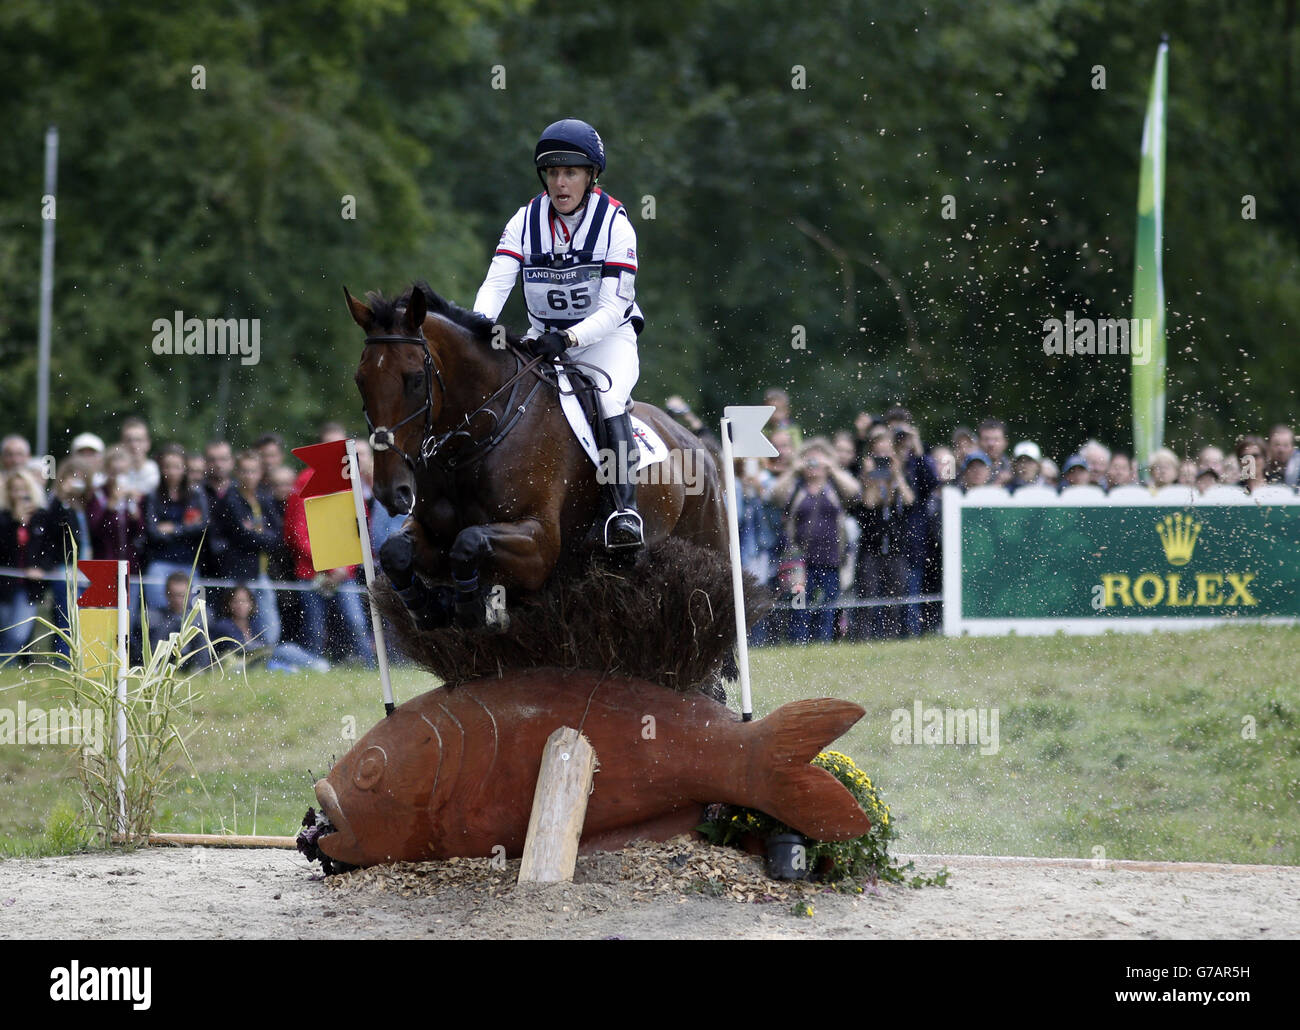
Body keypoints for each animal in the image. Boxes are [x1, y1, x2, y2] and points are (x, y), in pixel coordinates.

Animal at [345, 277, 733, 632]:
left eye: (414, 379)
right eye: (360, 380)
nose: (389, 492)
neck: (473, 440)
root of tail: (696, 444)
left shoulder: (540, 545)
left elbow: (468, 541)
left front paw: (471, 608)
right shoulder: (431, 533)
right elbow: (395, 550)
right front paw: (426, 607)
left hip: (707, 537)